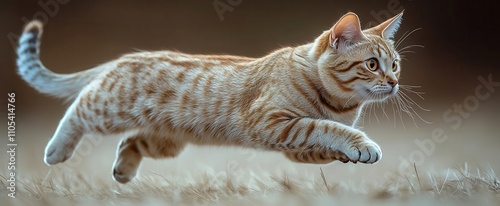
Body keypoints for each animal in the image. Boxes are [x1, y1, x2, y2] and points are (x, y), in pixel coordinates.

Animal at [16, 10, 402, 183]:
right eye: (372, 64)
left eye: (396, 64)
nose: (395, 82)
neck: (339, 105)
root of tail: (124, 58)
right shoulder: (272, 122)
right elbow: (326, 128)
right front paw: (361, 143)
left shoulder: (294, 147)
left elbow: (326, 140)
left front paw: (349, 153)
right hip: (109, 107)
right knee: (78, 108)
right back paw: (56, 150)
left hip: (167, 141)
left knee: (130, 142)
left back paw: (123, 172)